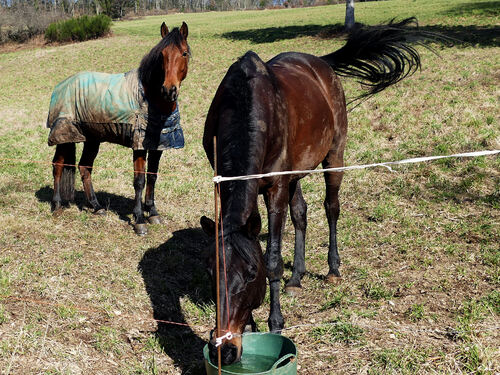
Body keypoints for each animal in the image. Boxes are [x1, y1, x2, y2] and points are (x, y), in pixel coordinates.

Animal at [46, 21, 189, 235]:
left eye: (184, 53)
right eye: (161, 55)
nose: (168, 90)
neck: (149, 96)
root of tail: (61, 86)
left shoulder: (159, 145)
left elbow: (152, 177)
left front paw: (153, 213)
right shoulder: (139, 146)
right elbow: (139, 181)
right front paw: (139, 220)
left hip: (92, 138)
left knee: (84, 167)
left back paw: (96, 207)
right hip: (64, 135)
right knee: (58, 166)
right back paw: (56, 206)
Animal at [201, 18, 432, 368]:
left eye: (252, 274)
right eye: (212, 272)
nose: (225, 351)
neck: (246, 104)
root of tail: (320, 64)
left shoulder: (275, 187)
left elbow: (272, 258)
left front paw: (275, 322)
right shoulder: (231, 183)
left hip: (334, 154)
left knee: (331, 206)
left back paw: (333, 269)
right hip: (295, 173)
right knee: (301, 213)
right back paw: (296, 276)